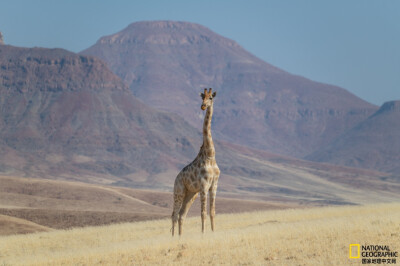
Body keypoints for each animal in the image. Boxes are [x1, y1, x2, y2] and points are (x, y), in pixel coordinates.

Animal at [171, 88, 220, 236]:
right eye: (202, 97)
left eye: (210, 97)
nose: (203, 106)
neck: (210, 155)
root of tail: (176, 179)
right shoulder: (204, 185)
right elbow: (203, 213)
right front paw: (203, 234)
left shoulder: (214, 185)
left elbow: (212, 212)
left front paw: (213, 232)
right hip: (179, 192)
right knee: (174, 214)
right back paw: (172, 237)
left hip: (191, 194)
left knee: (181, 215)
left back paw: (180, 237)